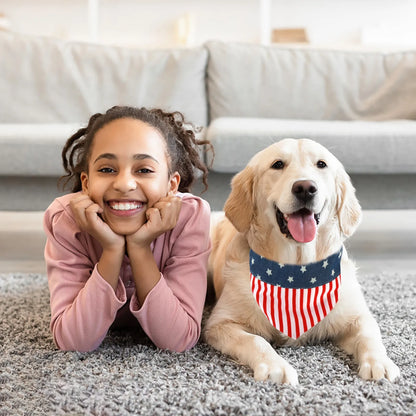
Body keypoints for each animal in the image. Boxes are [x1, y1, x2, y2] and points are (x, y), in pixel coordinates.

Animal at [205, 138, 400, 386]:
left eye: (321, 164)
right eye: (278, 164)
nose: (305, 188)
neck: (298, 270)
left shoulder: (356, 315)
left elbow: (369, 335)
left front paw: (379, 363)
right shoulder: (220, 324)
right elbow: (256, 341)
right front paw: (275, 366)